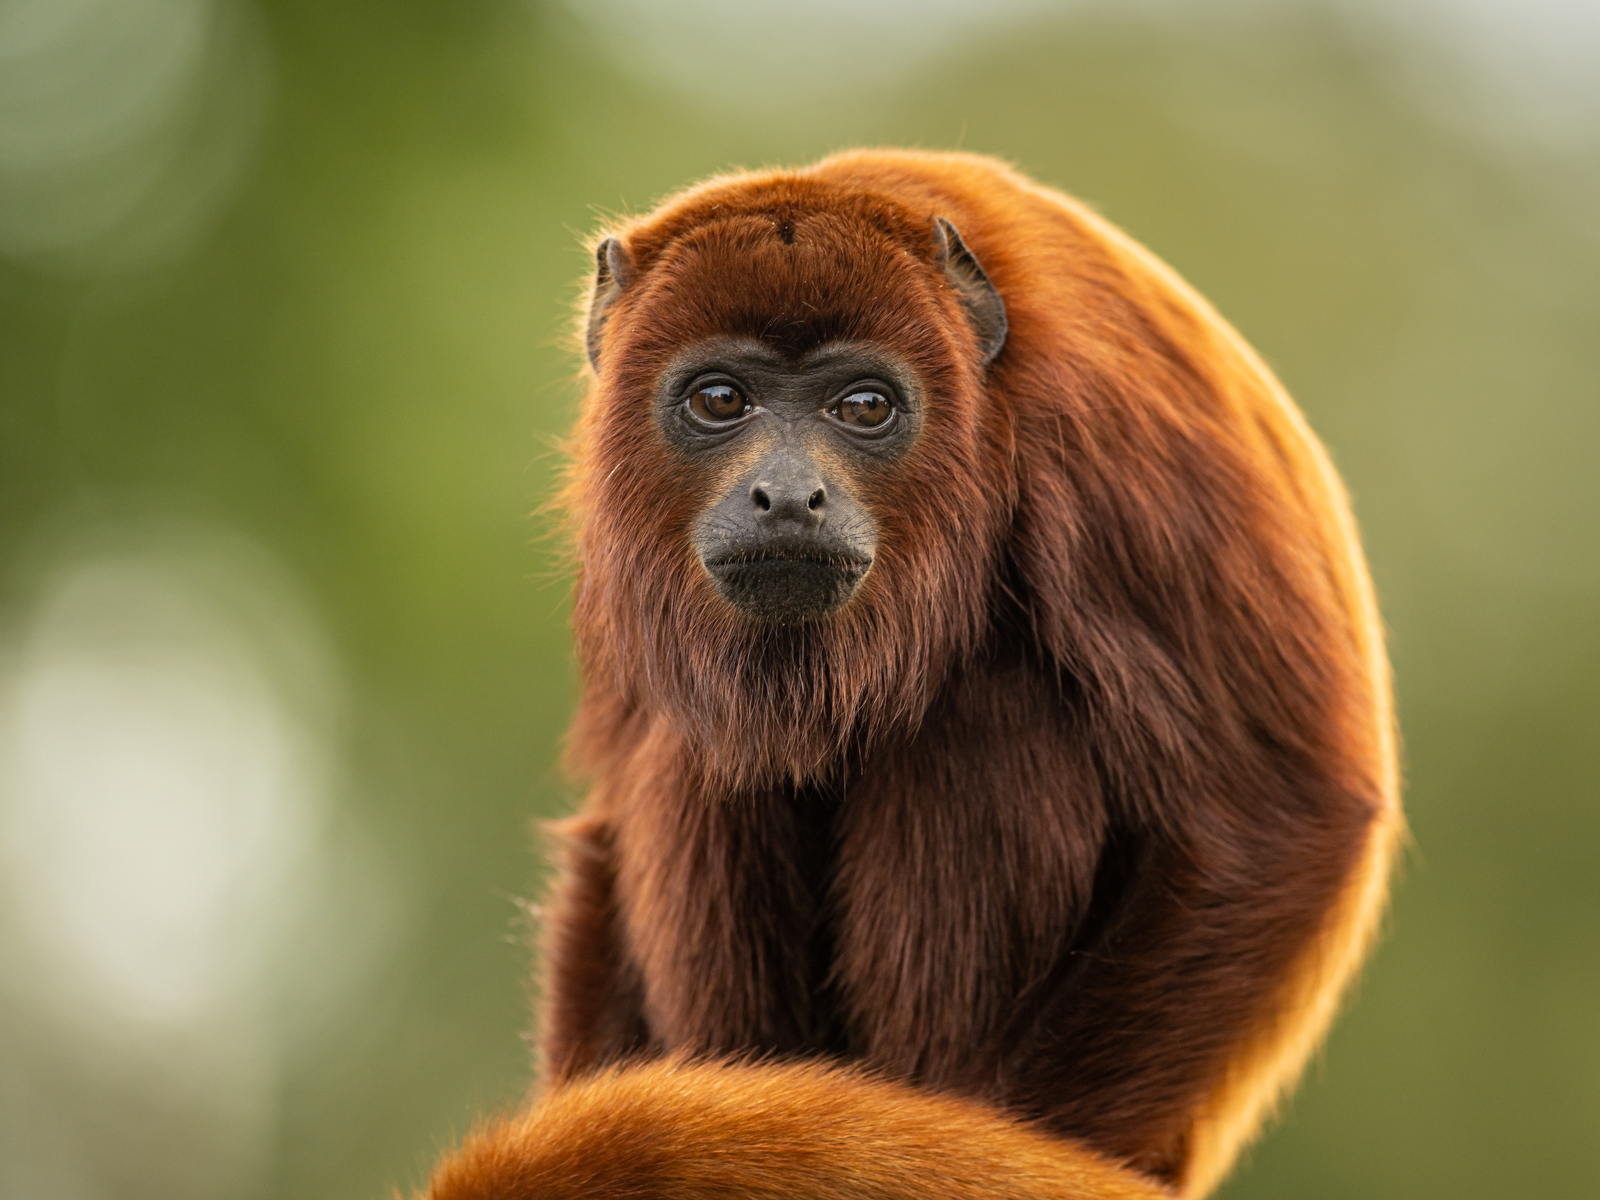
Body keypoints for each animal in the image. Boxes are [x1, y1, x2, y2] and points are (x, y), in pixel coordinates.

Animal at [420, 150, 1401, 1200]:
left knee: (988, 715)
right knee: (701, 760)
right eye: (720, 401)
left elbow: (1276, 815)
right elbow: (617, 807)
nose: (788, 496)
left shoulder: (1120, 437)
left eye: (865, 407)